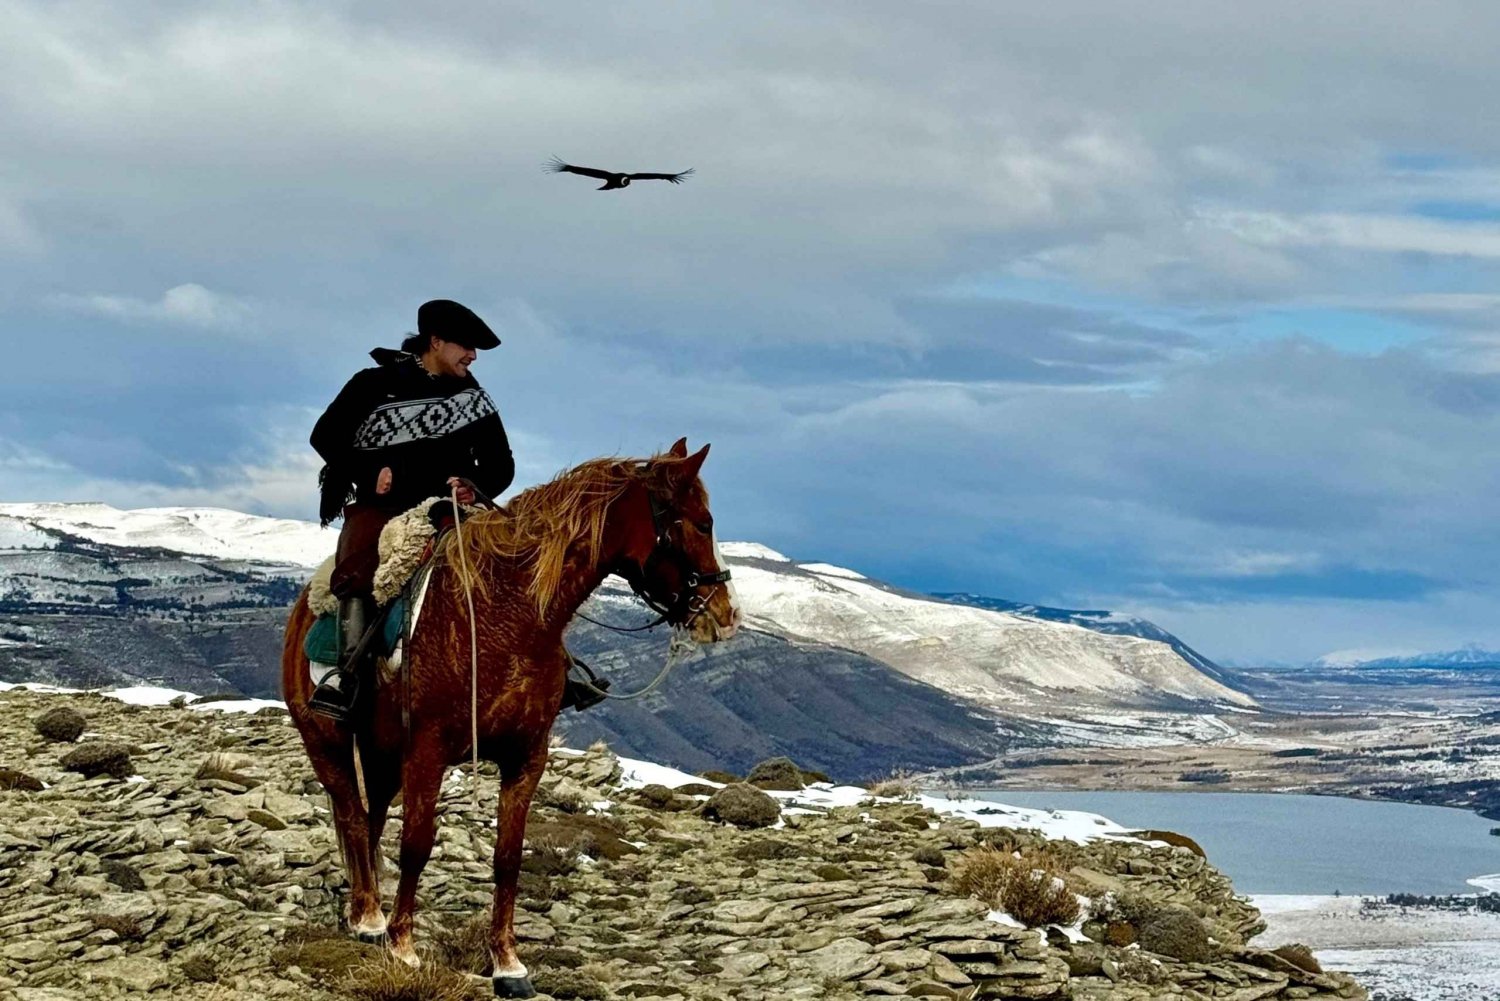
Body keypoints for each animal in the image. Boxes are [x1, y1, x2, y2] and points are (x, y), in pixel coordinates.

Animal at [282, 441, 738, 996]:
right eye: (702, 523)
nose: (725, 615)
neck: (509, 612)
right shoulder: (428, 751)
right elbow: (416, 845)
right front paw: (403, 946)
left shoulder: (525, 757)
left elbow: (507, 858)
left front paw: (507, 964)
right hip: (327, 740)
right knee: (350, 813)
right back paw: (370, 917)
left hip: (381, 750)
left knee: (369, 821)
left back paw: (363, 916)